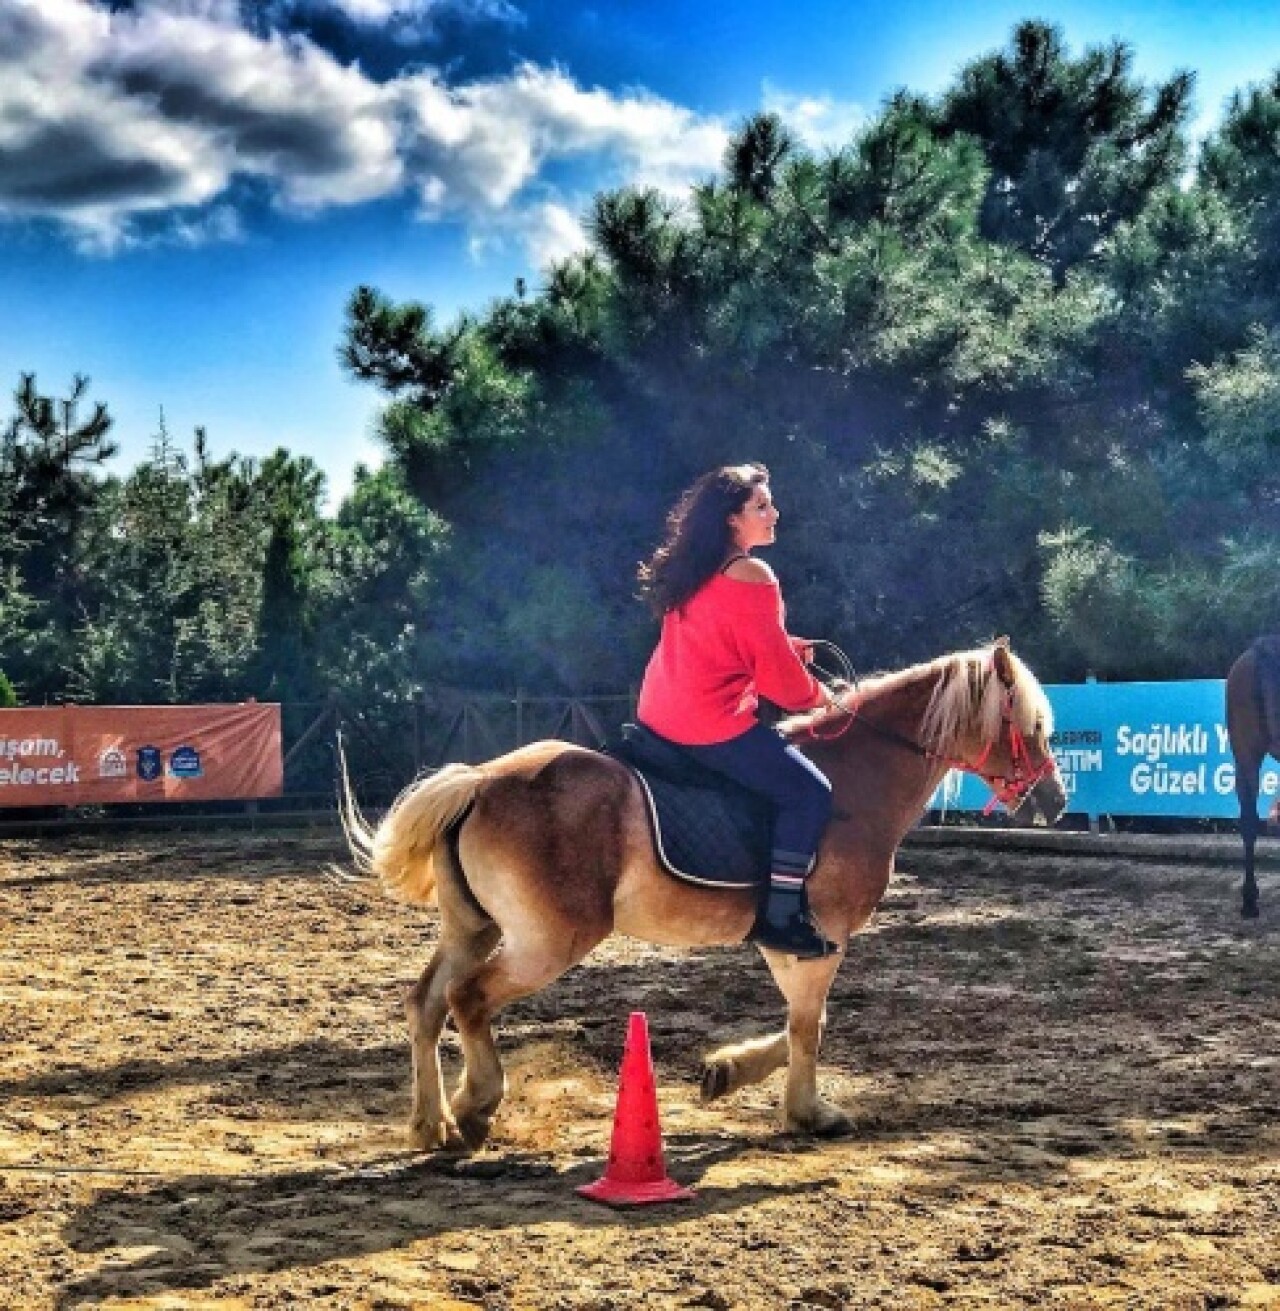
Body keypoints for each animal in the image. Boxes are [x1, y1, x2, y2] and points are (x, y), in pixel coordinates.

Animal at [343, 639, 1070, 1153]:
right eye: (1031, 723)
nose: (1056, 801)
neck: (855, 777)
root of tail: (480, 779)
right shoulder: (820, 938)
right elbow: (810, 1026)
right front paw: (809, 1111)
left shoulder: (790, 943)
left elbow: (800, 1024)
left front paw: (728, 1072)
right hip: (546, 942)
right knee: (468, 999)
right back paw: (475, 1106)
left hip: (476, 930)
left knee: (427, 1003)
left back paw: (430, 1122)